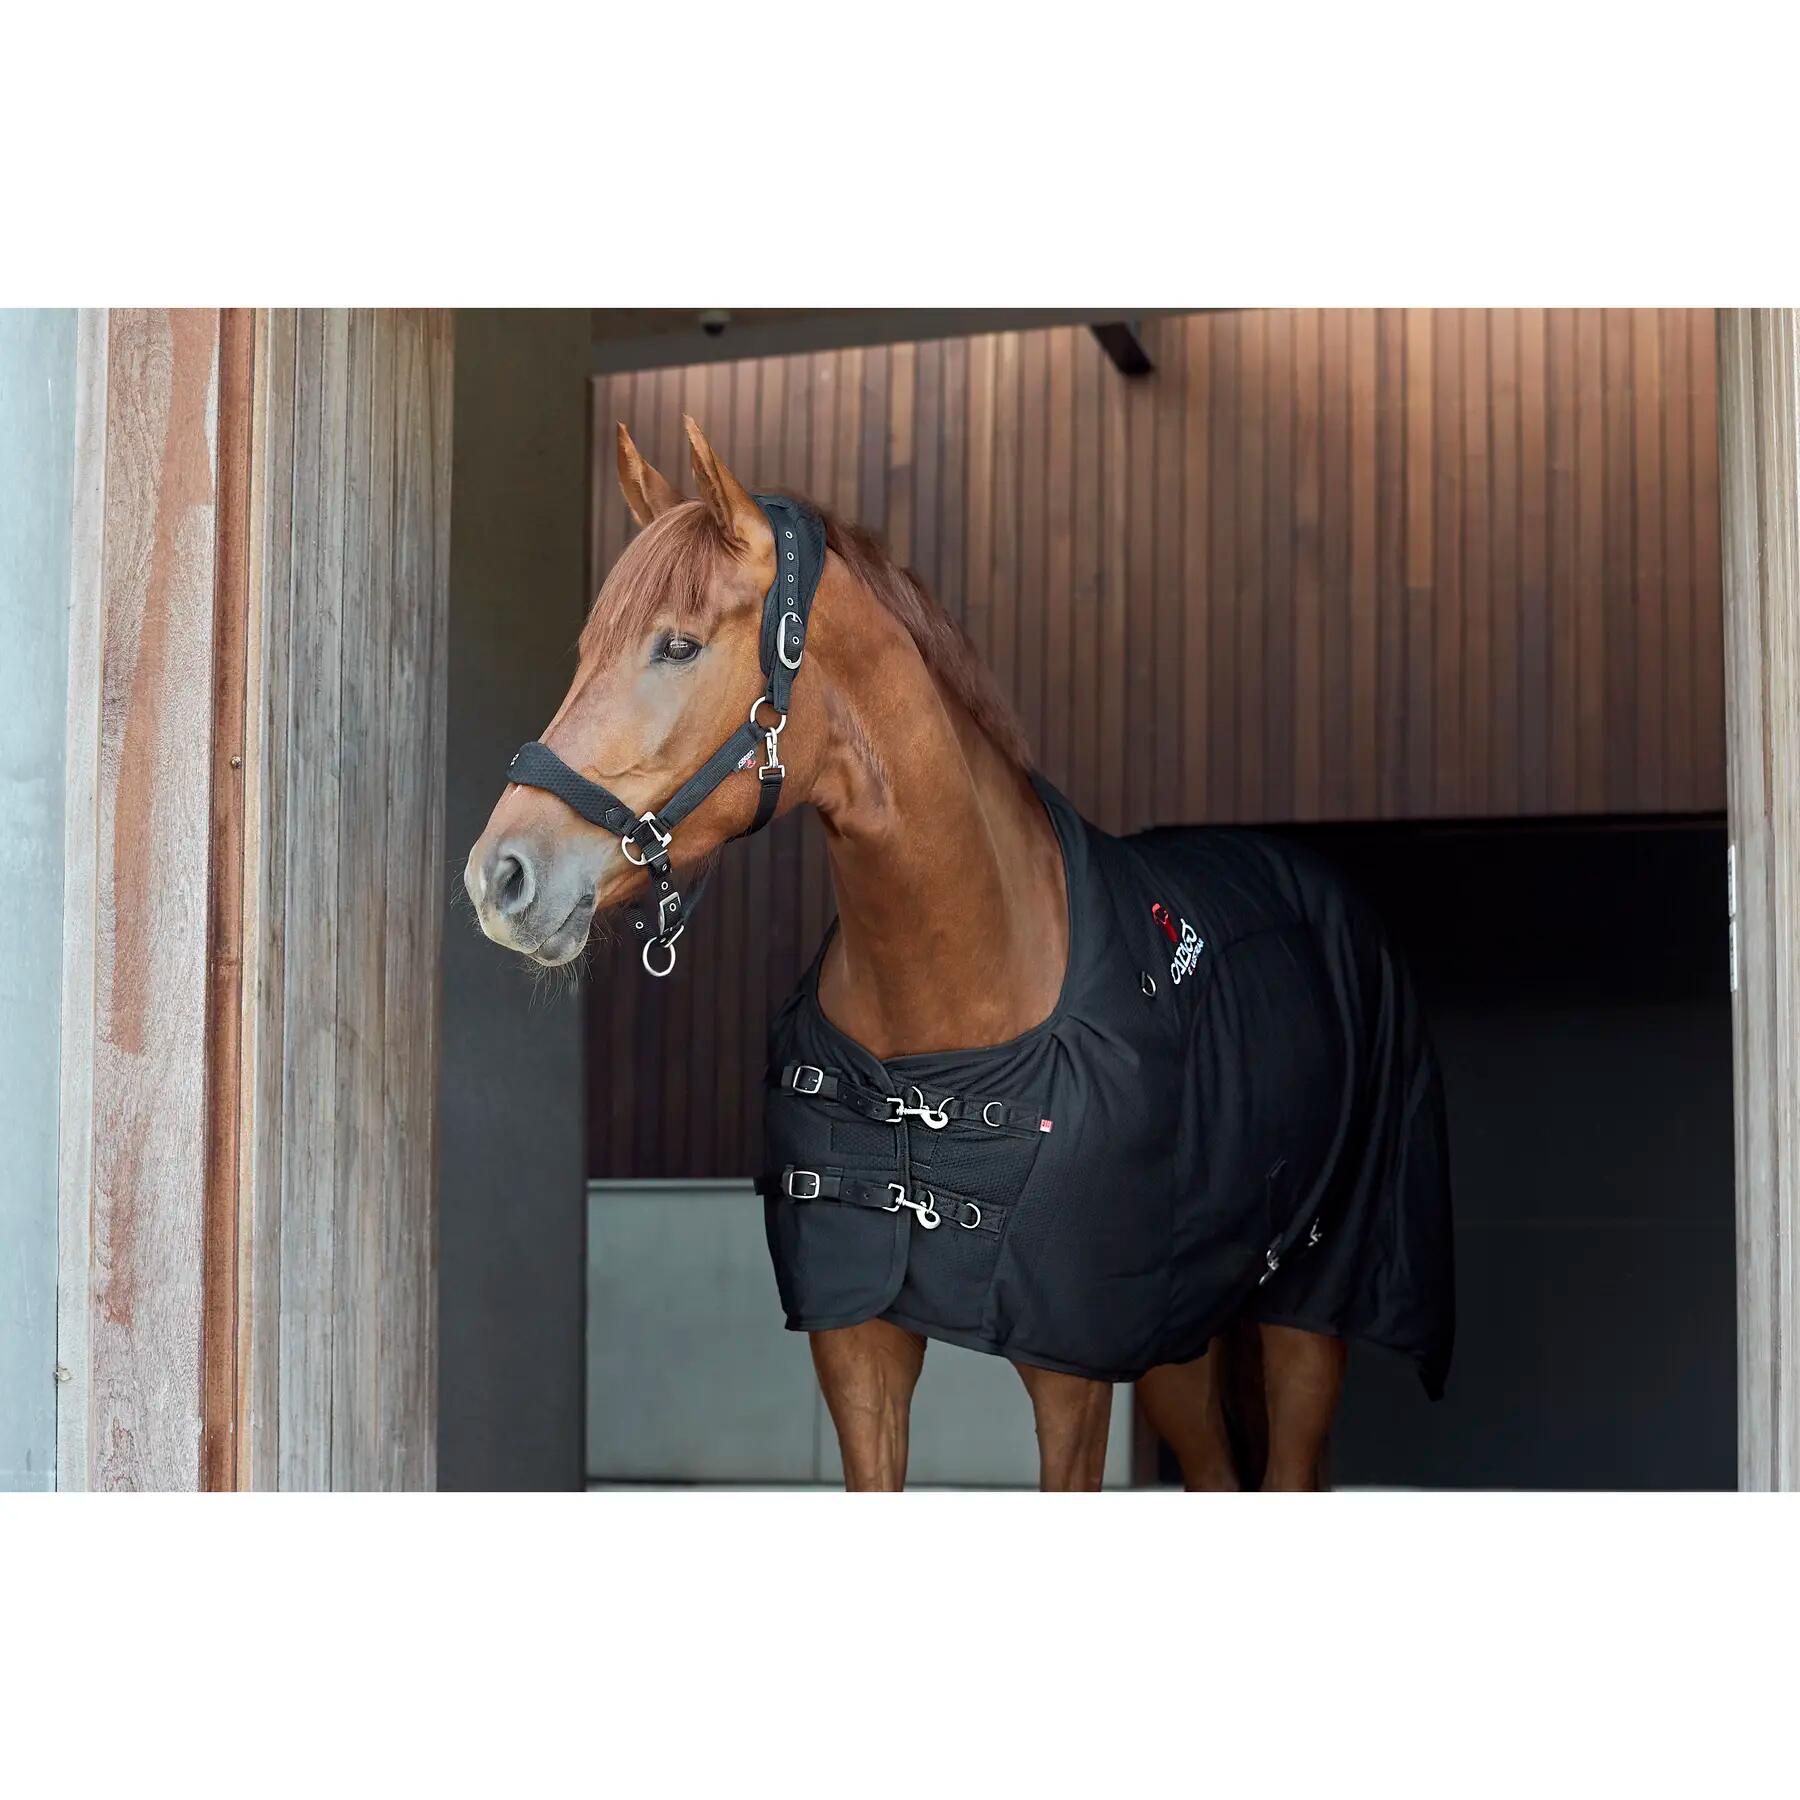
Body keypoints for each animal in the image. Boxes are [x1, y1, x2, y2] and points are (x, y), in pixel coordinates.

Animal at [466, 415, 1453, 1491]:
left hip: (1311, 1311)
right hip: (1177, 1342)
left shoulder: (1071, 1369)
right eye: (587, 649)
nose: (499, 878)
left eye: (677, 645)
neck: (951, 1002)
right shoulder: (859, 1345)